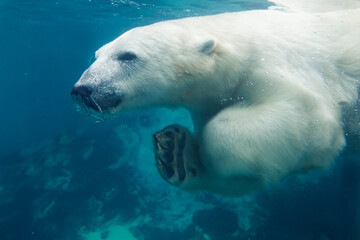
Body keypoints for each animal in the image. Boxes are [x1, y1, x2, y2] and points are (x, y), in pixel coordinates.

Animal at [71, 0, 360, 195]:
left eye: (128, 56)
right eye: (98, 54)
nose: (83, 89)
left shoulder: (279, 67)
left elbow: (307, 117)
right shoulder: (207, 100)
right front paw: (176, 152)